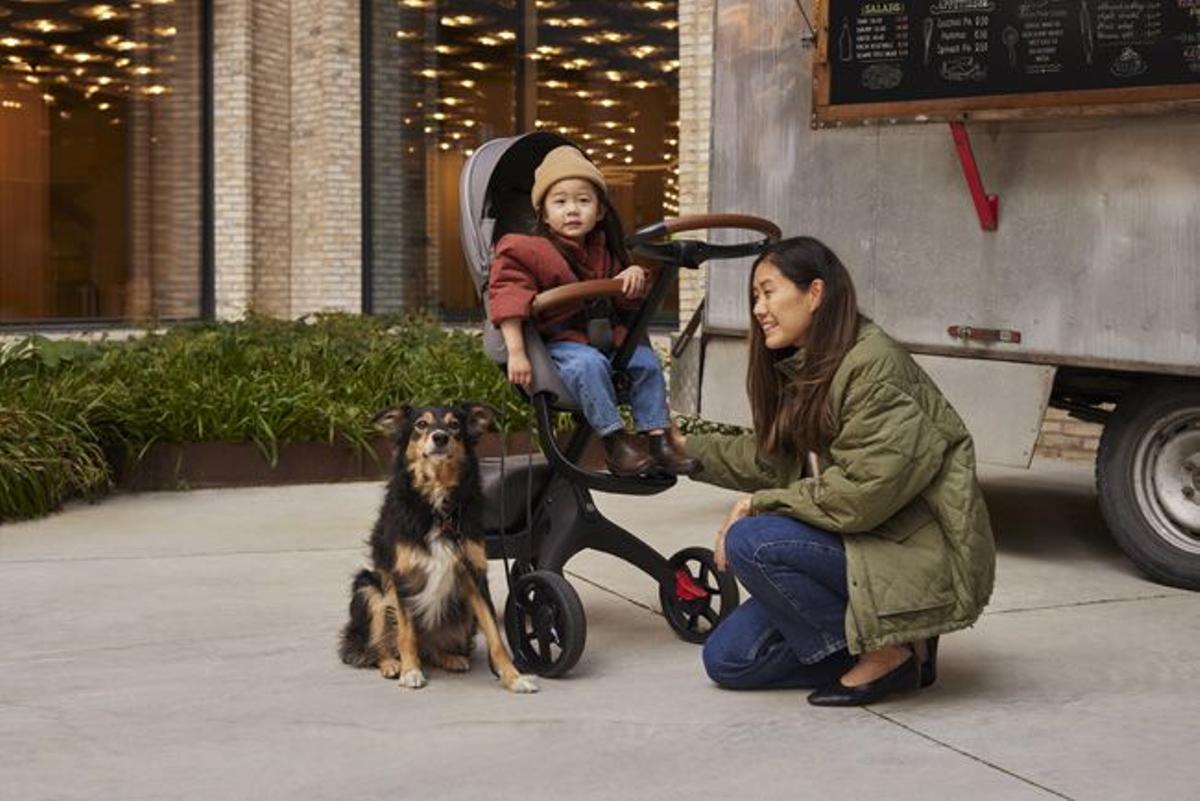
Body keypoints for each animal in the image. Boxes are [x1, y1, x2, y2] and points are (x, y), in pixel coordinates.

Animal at [336, 402, 537, 690]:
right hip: (369, 589)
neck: (437, 501)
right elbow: (406, 633)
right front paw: (410, 671)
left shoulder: (474, 574)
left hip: (463, 613)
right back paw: (391, 664)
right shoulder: (401, 577)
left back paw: (450, 657)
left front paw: (514, 677)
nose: (440, 437)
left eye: (455, 425)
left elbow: (495, 637)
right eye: (421, 424)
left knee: (432, 649)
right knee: (371, 647)